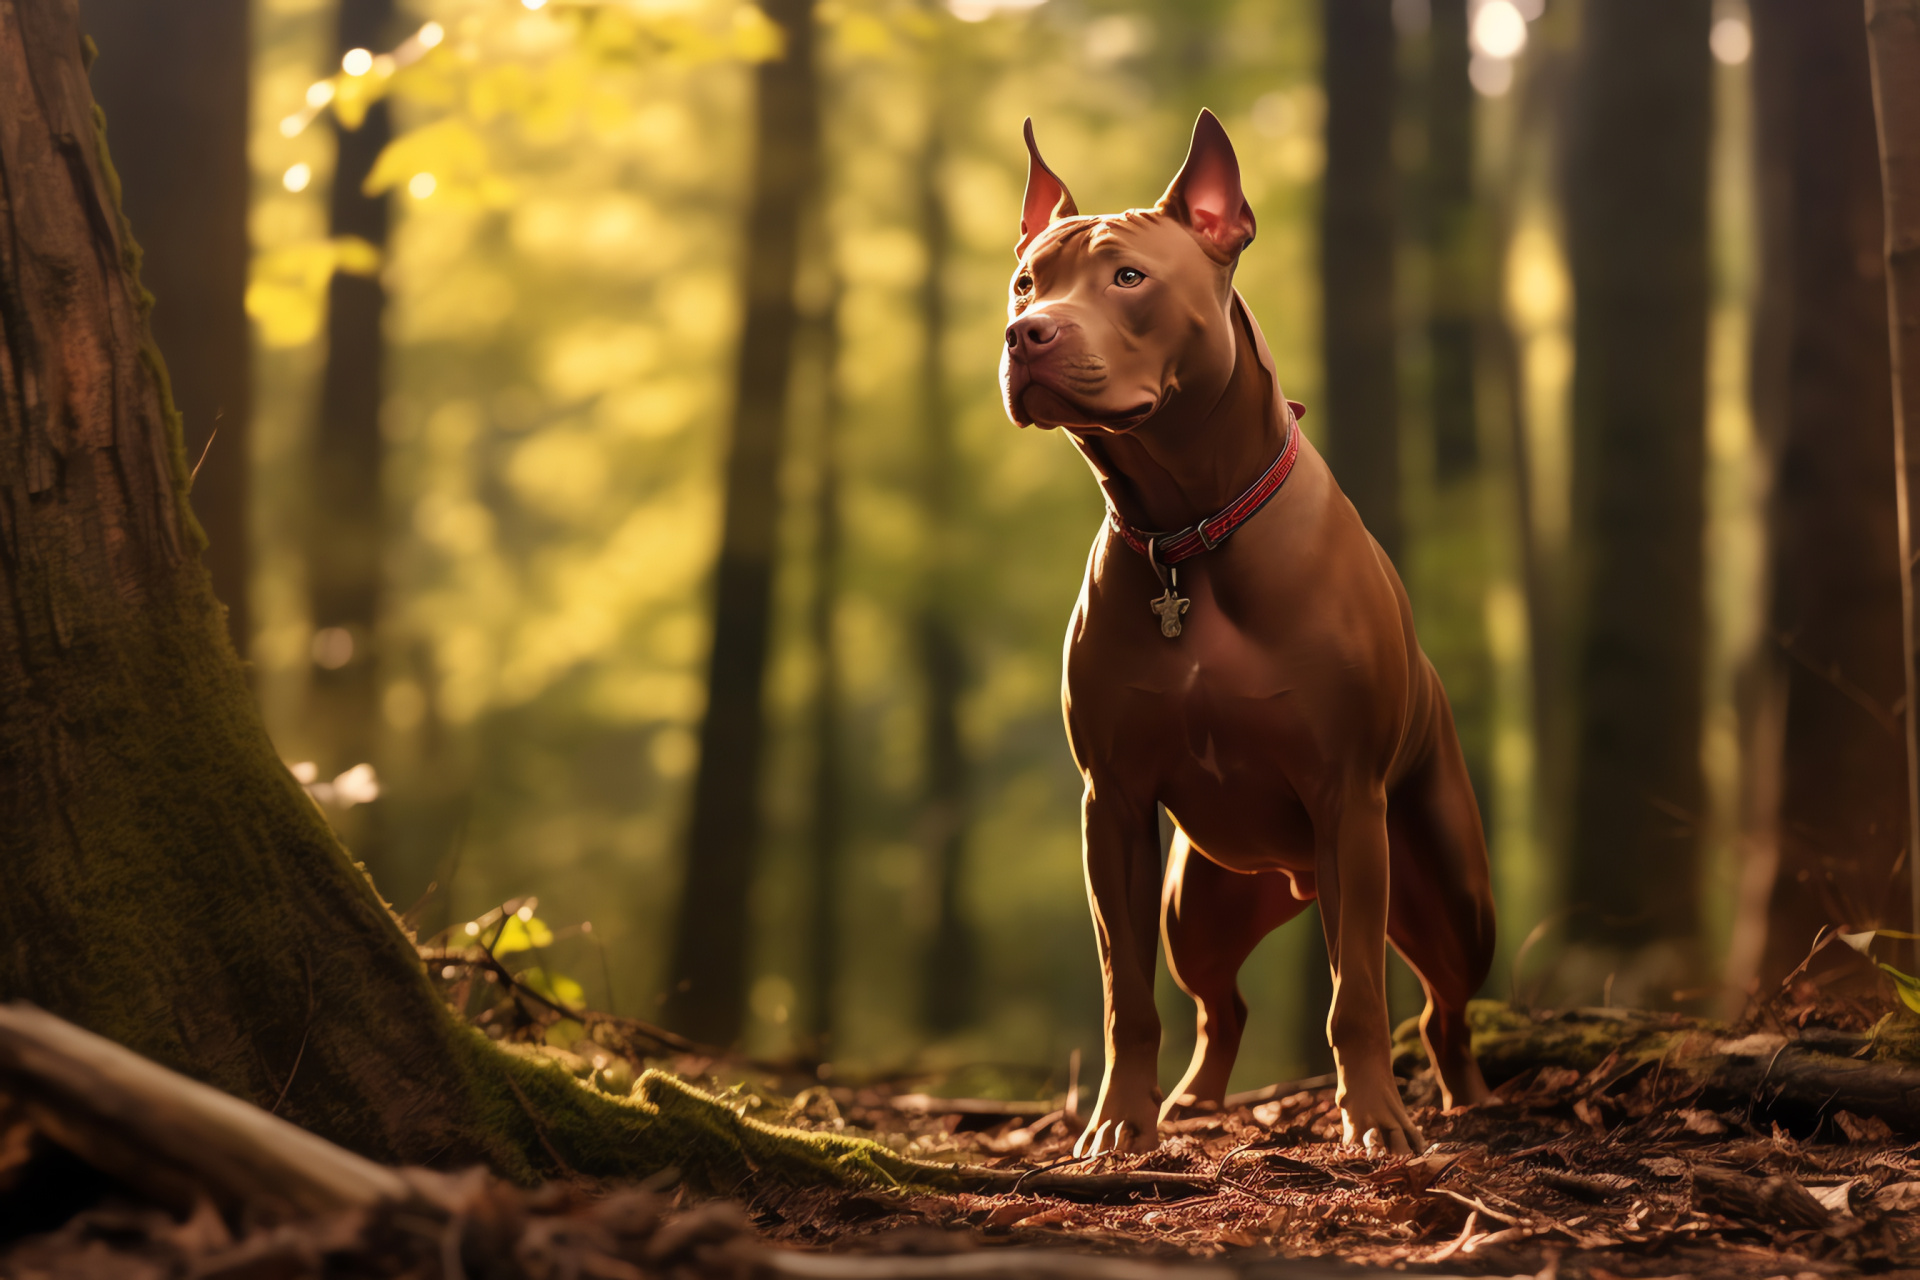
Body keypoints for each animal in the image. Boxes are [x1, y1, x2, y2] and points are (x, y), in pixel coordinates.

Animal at [1006, 112, 1497, 1159]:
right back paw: (1192, 1101)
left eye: (1128, 278)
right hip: (1199, 902)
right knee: (1217, 1005)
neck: (1191, 529)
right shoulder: (1113, 808)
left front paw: (1376, 1120)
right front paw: (1119, 1124)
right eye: (1026, 280)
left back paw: (1464, 1099)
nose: (1026, 333)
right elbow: (1126, 995)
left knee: (1441, 1007)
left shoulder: (1348, 800)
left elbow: (1357, 995)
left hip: (1447, 893)